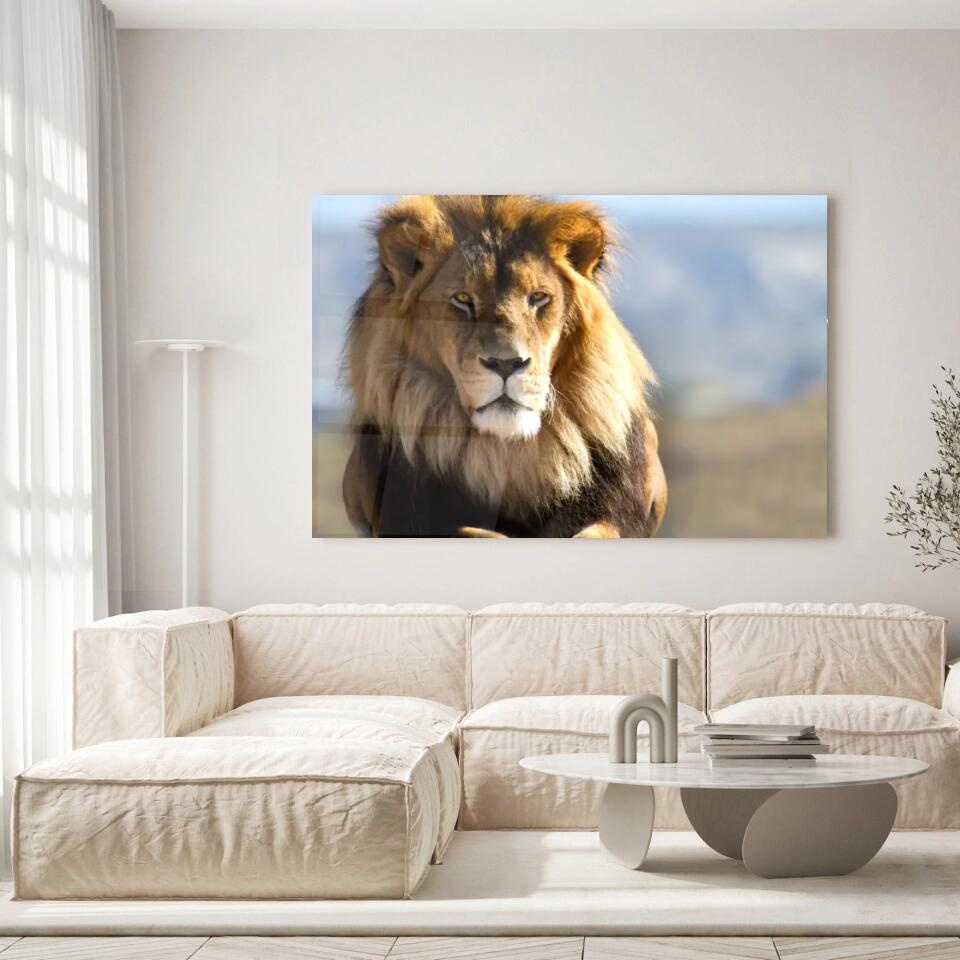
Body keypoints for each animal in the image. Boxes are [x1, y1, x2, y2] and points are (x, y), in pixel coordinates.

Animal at [340, 194, 667, 538]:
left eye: (538, 297)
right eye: (462, 299)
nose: (507, 363)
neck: (506, 451)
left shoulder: (619, 510)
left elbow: (597, 531)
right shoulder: (404, 517)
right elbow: (469, 531)